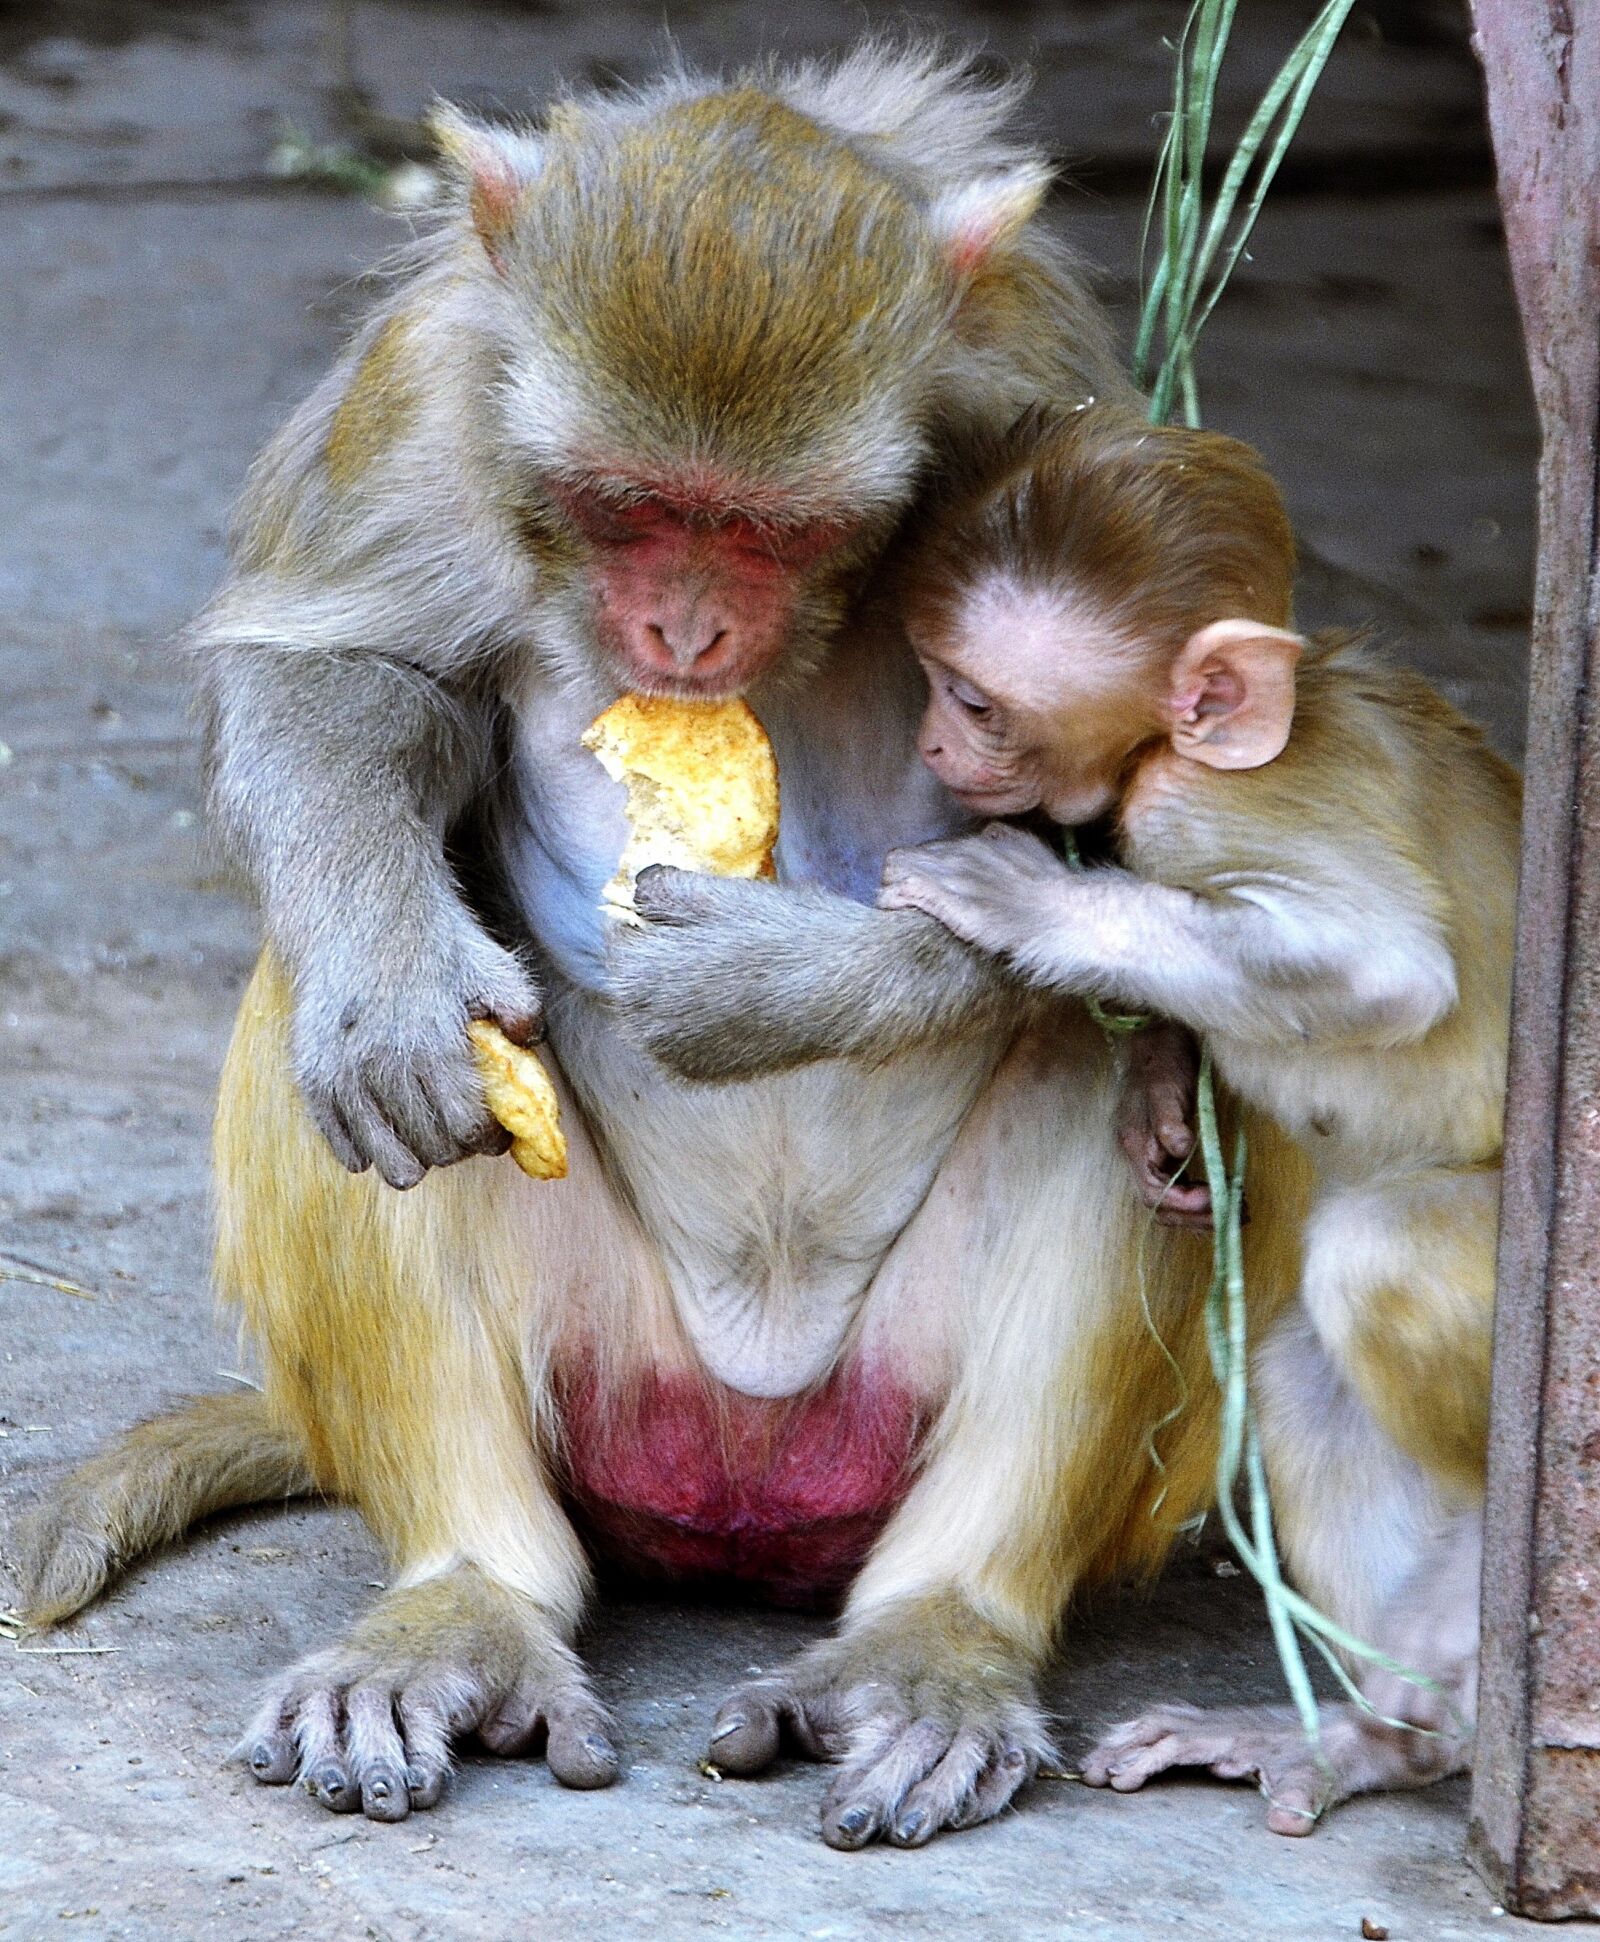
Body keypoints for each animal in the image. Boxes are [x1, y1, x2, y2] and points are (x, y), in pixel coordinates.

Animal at [16, 50, 1310, 1846]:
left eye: (769, 531)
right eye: (627, 507)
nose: (684, 631)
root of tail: (742, 1476)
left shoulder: (1043, 385)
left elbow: (1175, 831)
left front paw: (788, 982)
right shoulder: (427, 396)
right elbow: (337, 671)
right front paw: (386, 978)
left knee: (1135, 1069)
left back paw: (939, 1631)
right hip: (612, 1363)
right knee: (350, 1028)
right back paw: (464, 1595)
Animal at [872, 402, 1520, 1832]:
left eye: (973, 699)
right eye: (928, 680)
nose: (930, 744)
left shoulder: (1203, 805)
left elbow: (1384, 968)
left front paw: (1038, 908)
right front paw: (1162, 1093)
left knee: (1376, 1256)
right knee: (1294, 1368)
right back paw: (1384, 1737)